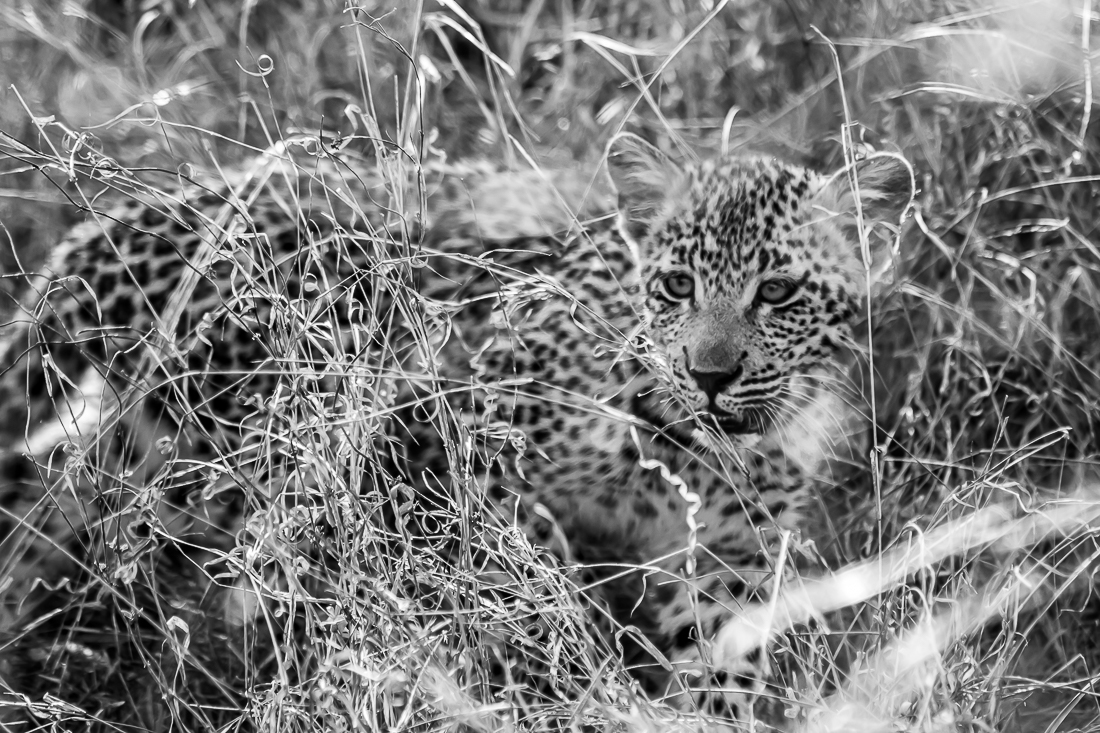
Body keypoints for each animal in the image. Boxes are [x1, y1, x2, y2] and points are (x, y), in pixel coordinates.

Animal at [0, 134, 910, 725]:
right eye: (677, 284)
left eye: (780, 292)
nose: (709, 374)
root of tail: (119, 217)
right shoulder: (437, 446)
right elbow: (516, 581)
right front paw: (555, 676)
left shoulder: (732, 557)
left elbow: (721, 660)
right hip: (238, 428)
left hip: (145, 450)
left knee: (53, 494)